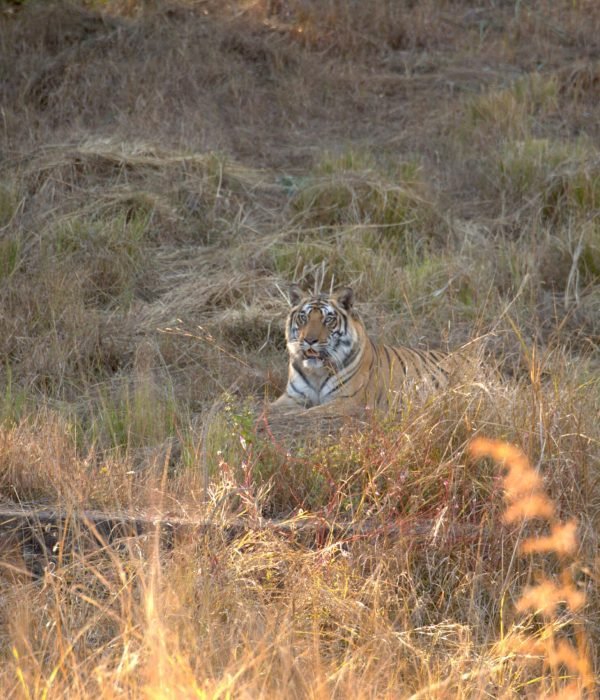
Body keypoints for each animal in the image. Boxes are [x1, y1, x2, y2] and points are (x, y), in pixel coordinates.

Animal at [271, 284, 459, 416]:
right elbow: (270, 408)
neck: (316, 372)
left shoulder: (346, 401)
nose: (309, 340)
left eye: (328, 319)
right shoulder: (291, 397)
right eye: (304, 317)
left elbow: (305, 412)